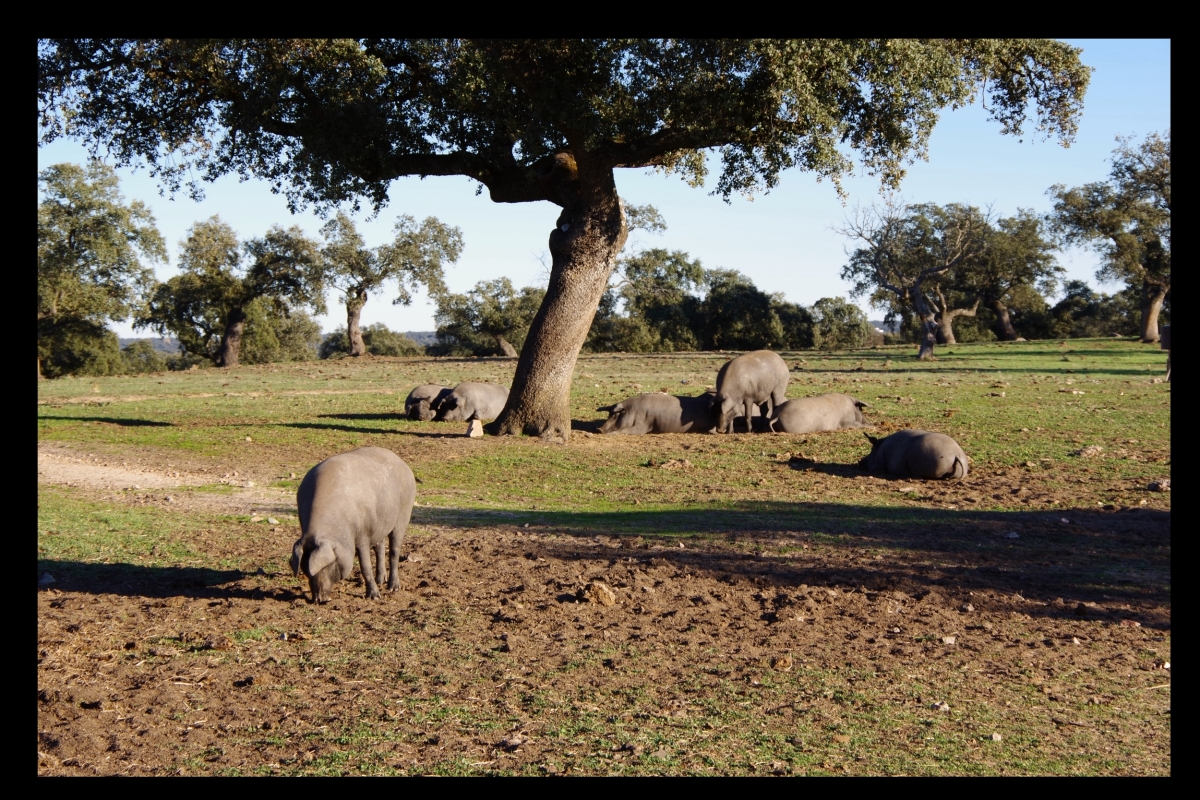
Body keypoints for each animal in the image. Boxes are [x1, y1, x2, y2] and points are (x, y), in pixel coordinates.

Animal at [289, 448, 417, 604]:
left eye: (328, 565)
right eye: (305, 570)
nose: (319, 600)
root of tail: (403, 463)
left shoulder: (363, 535)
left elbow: (365, 566)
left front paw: (375, 597)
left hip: (404, 514)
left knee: (394, 550)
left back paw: (393, 588)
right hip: (380, 523)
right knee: (380, 547)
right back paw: (380, 581)